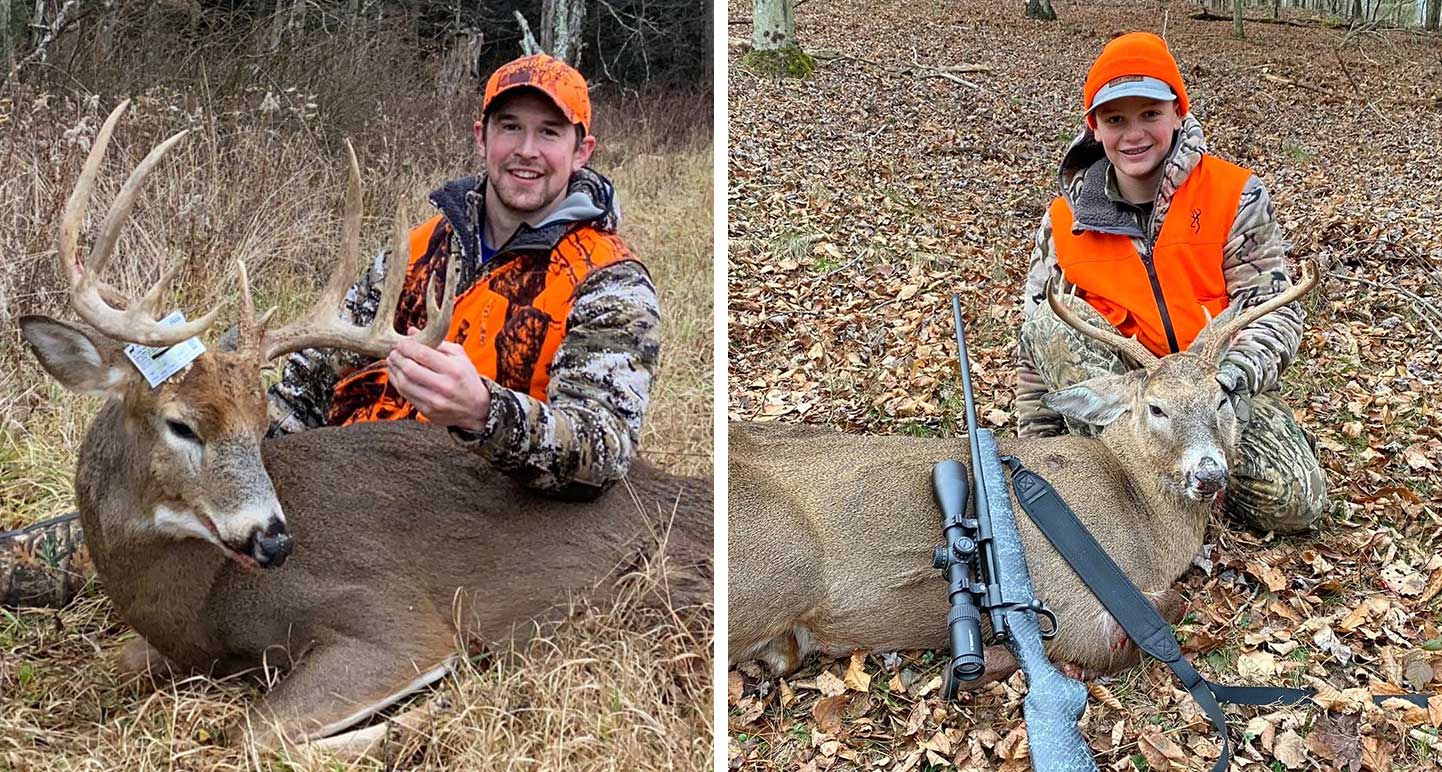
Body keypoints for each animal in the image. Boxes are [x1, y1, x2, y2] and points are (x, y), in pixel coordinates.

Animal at [19, 101, 713, 752]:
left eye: (256, 422)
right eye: (181, 425)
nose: (275, 540)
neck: (198, 604)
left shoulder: (390, 618)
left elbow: (254, 733)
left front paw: (432, 712)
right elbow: (122, 662)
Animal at [729, 261, 1317, 687]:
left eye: (1222, 398)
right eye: (1156, 408)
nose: (1210, 473)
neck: (1140, 519)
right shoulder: (1078, 608)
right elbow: (1158, 616)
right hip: (770, 574)